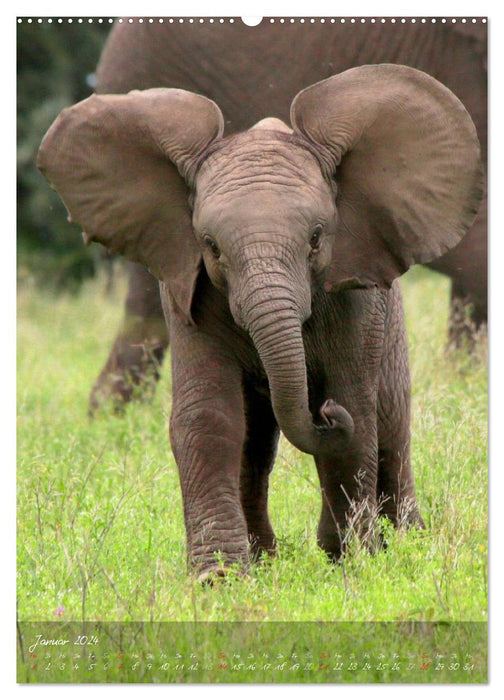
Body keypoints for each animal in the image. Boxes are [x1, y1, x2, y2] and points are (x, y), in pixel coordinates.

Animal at [38, 65, 480, 580]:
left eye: (316, 237)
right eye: (211, 245)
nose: (324, 413)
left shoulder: (357, 296)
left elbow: (356, 410)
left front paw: (354, 563)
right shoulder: (186, 289)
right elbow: (209, 416)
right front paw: (220, 579)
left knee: (389, 423)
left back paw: (404, 541)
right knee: (255, 444)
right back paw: (267, 559)